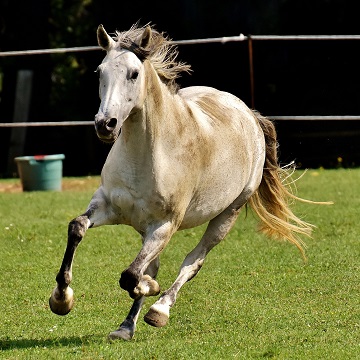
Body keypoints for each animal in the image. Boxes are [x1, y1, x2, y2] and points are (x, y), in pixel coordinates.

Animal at [50, 23, 318, 340]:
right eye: (99, 72)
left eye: (134, 74)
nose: (106, 124)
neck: (148, 154)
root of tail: (248, 113)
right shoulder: (108, 206)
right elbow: (77, 228)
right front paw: (61, 299)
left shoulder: (165, 225)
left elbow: (131, 275)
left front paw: (150, 291)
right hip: (145, 227)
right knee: (152, 265)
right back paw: (126, 326)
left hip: (227, 215)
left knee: (193, 262)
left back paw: (159, 309)